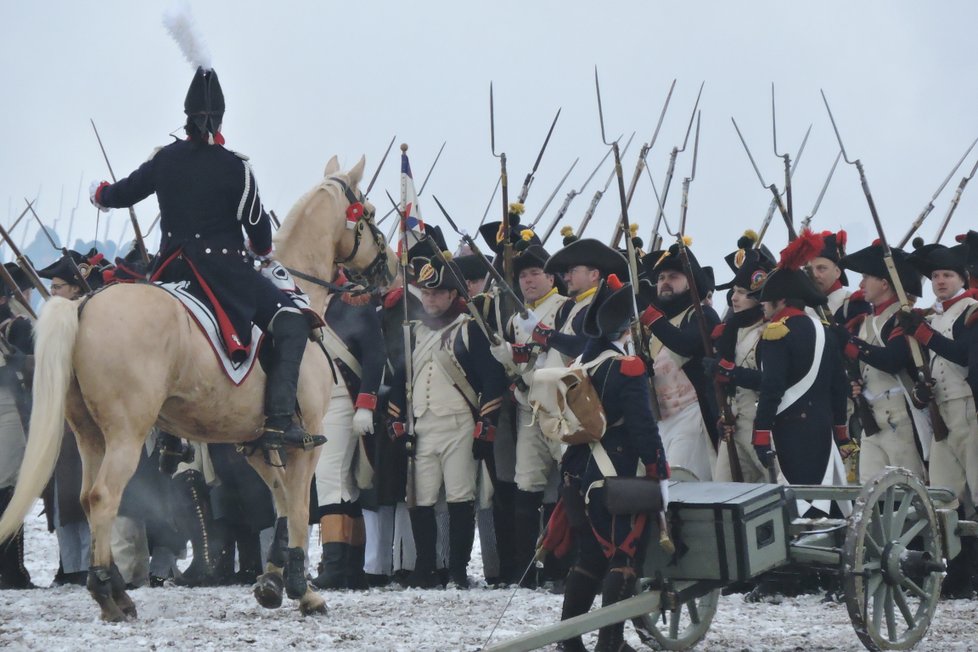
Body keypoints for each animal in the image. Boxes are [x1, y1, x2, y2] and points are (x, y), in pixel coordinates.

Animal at [0, 155, 396, 620]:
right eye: (368, 212)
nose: (388, 266)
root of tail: (84, 306)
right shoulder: (305, 439)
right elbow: (296, 506)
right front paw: (302, 589)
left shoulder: (256, 442)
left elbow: (280, 503)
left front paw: (272, 581)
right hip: (126, 434)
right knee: (102, 497)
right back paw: (108, 592)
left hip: (88, 435)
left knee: (86, 499)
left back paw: (114, 590)